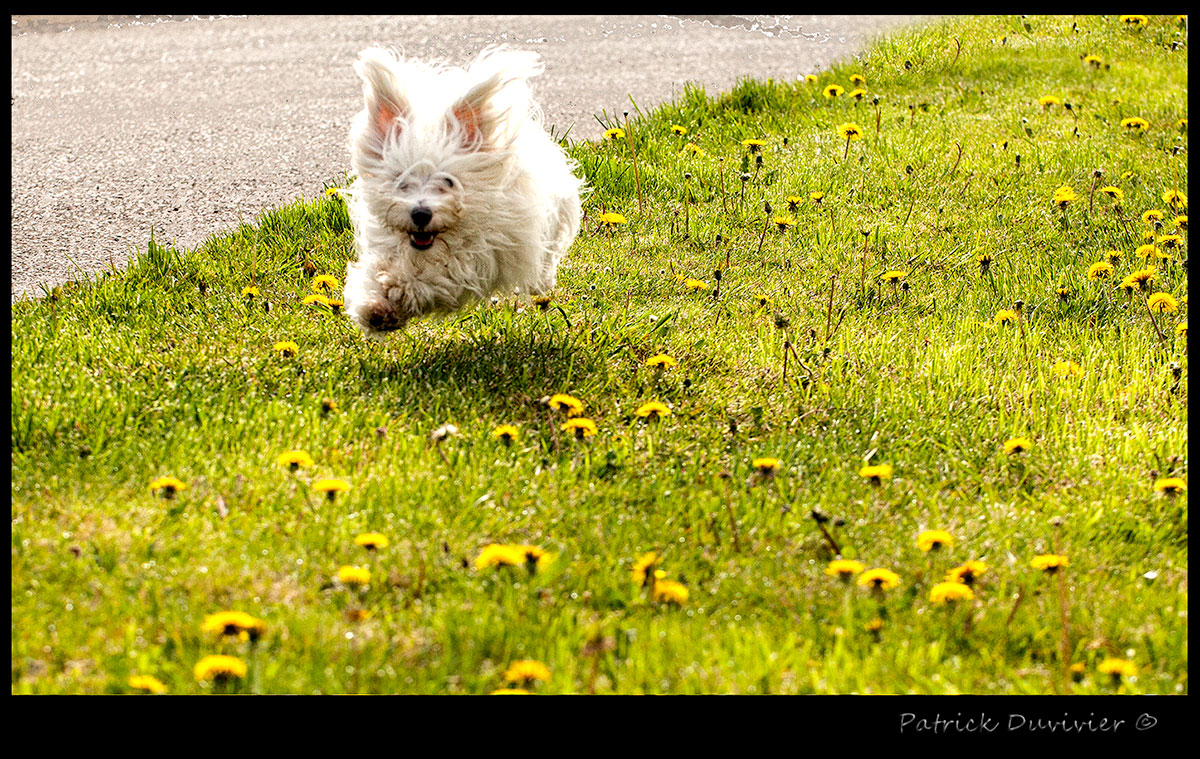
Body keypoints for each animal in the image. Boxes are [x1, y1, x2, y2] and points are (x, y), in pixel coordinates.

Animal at [340, 45, 583, 333]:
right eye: (401, 181)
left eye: (448, 181)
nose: (420, 214)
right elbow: (375, 271)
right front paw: (374, 306)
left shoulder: (478, 257)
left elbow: (442, 273)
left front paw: (401, 287)